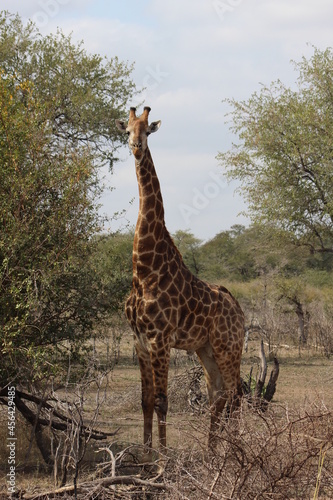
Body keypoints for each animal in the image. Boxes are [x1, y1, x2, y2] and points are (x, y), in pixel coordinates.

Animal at [115, 106, 244, 458]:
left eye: (147, 129)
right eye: (127, 130)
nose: (135, 147)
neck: (144, 270)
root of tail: (240, 311)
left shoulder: (160, 339)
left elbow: (162, 401)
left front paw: (161, 459)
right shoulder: (139, 341)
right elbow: (146, 401)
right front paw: (146, 456)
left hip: (229, 347)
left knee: (236, 394)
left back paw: (237, 453)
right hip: (206, 349)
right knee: (218, 394)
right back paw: (212, 452)